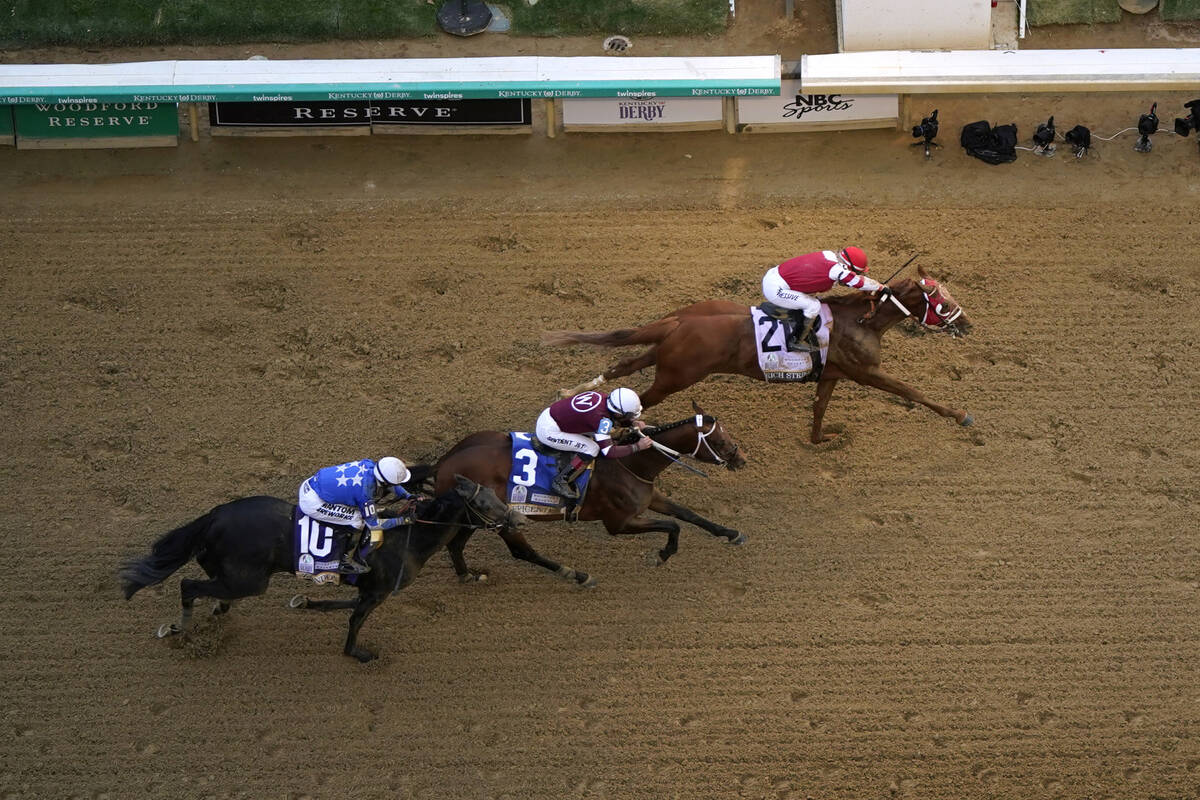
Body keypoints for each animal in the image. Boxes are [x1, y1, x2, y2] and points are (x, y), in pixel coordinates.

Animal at [118, 474, 525, 662]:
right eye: (484, 504)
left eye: (497, 494)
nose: (518, 518)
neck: (408, 538)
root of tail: (214, 516)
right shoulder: (377, 590)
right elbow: (355, 618)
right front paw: (357, 653)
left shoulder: (368, 589)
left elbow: (343, 605)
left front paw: (307, 602)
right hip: (248, 580)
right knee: (188, 585)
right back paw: (180, 630)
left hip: (230, 574)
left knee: (210, 590)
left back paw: (215, 613)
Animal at [417, 407, 744, 587]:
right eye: (718, 439)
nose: (740, 460)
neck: (630, 463)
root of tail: (444, 463)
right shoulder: (618, 523)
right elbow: (673, 525)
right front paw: (662, 555)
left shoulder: (650, 497)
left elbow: (688, 514)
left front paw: (731, 533)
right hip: (502, 517)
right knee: (523, 552)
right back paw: (577, 575)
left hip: (474, 514)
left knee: (455, 544)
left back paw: (467, 575)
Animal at [549, 267, 969, 443]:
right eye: (943, 301)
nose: (967, 325)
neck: (862, 320)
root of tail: (680, 320)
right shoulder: (867, 372)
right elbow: (913, 392)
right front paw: (961, 415)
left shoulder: (833, 374)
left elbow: (819, 407)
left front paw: (820, 438)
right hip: (675, 377)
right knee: (636, 400)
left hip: (662, 358)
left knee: (623, 366)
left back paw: (574, 391)